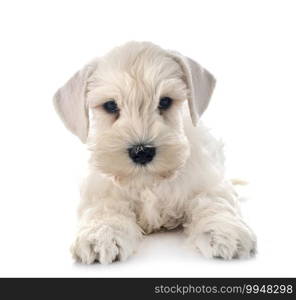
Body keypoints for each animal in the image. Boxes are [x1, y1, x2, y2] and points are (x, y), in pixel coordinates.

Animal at [53, 41, 256, 264]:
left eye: (165, 101)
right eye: (110, 105)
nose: (142, 152)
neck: (149, 183)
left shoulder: (209, 182)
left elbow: (214, 202)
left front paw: (224, 232)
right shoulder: (100, 191)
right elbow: (104, 208)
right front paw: (101, 235)